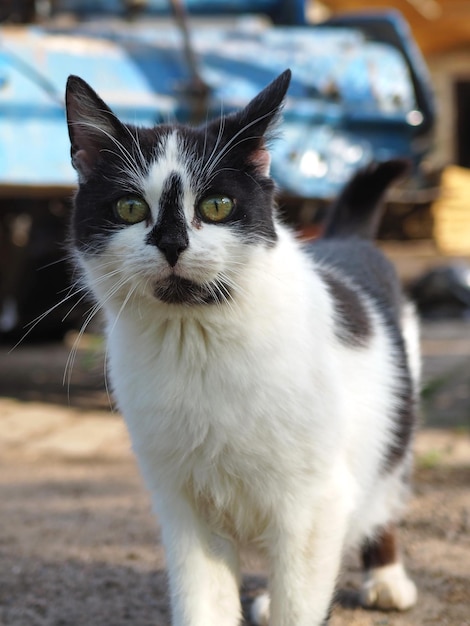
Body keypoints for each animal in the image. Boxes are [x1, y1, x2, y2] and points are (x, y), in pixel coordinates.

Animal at [63, 69, 418, 624]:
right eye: (129, 207)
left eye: (216, 206)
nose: (171, 243)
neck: (197, 342)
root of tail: (346, 240)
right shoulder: (183, 506)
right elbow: (203, 602)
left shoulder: (314, 501)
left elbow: (301, 603)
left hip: (393, 425)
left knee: (381, 491)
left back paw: (386, 578)